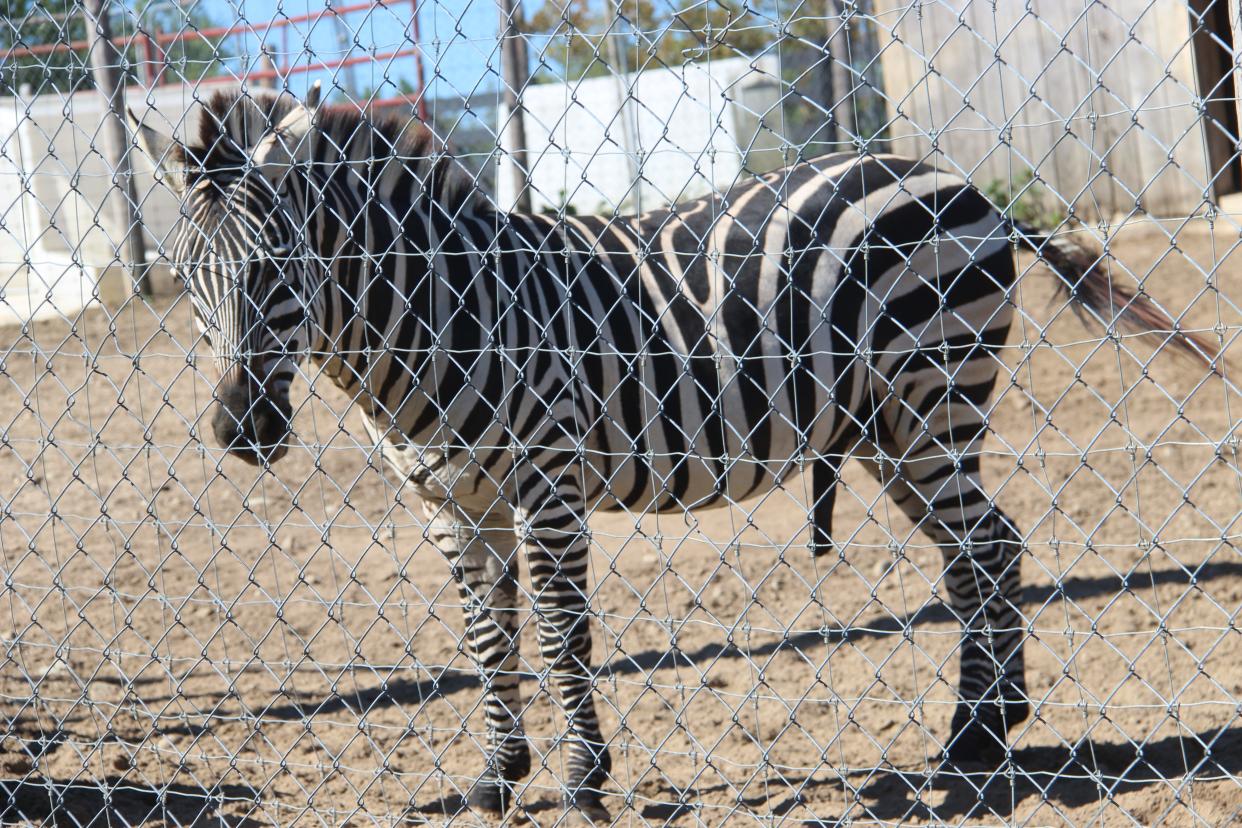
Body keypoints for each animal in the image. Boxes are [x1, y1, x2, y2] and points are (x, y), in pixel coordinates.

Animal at [131, 85, 1207, 824]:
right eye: (185, 273)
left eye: (279, 266)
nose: (241, 430)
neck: (437, 321)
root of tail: (951, 177)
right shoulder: (455, 506)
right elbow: (487, 640)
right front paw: (496, 778)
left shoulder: (548, 479)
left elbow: (561, 634)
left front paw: (583, 782)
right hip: (887, 433)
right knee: (981, 550)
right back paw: (986, 731)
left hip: (933, 396)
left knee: (984, 547)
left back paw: (974, 732)